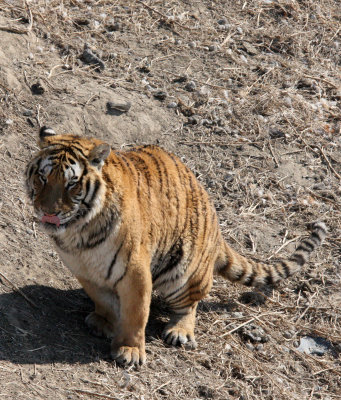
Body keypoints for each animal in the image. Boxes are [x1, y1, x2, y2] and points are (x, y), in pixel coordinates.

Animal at [25, 126, 326, 368]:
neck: (79, 233)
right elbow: (104, 301)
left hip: (183, 274)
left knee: (190, 305)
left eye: (72, 183)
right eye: (42, 177)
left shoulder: (135, 271)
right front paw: (104, 322)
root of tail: (216, 229)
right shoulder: (85, 271)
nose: (48, 211)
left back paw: (179, 332)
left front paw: (130, 350)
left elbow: (137, 313)